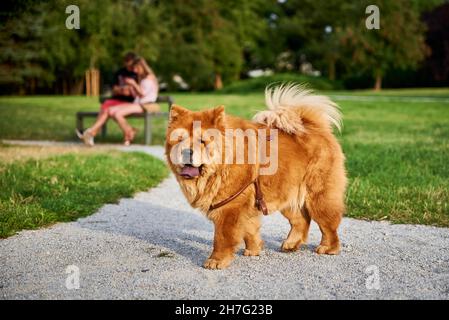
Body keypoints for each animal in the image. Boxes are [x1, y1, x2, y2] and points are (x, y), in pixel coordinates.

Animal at [165, 84, 346, 268]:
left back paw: (328, 248)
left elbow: (222, 237)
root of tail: (316, 127)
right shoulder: (247, 205)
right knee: (301, 221)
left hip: (318, 196)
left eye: (202, 141)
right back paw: (290, 244)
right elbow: (250, 230)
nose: (186, 151)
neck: (220, 168)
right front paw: (253, 250)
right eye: (179, 140)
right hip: (287, 195)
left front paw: (216, 261)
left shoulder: (230, 206)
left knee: (328, 225)